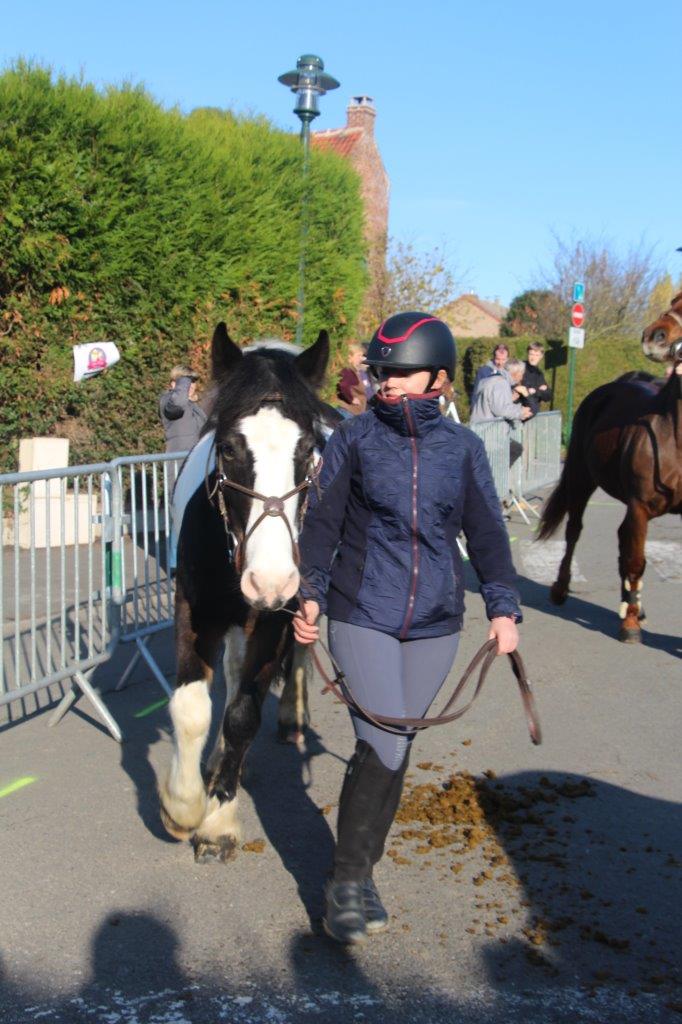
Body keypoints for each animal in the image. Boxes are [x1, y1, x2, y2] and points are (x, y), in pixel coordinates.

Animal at [157, 321, 331, 864]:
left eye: (307, 450)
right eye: (230, 449)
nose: (268, 578)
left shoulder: (276, 613)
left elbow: (243, 716)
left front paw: (216, 823)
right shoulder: (194, 608)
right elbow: (192, 708)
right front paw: (183, 806)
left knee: (300, 652)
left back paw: (291, 716)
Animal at [536, 294, 679, 638]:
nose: (655, 336)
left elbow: (632, 556)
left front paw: (633, 611)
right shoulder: (640, 504)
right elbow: (635, 560)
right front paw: (630, 624)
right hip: (581, 477)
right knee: (575, 531)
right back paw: (562, 589)